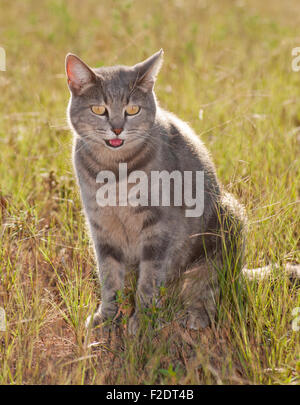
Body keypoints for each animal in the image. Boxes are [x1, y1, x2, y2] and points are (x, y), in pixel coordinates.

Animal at [65, 49, 246, 334]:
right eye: (98, 109)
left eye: (132, 109)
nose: (117, 128)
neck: (115, 170)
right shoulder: (101, 228)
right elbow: (109, 277)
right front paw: (107, 317)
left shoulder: (158, 226)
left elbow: (149, 279)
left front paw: (142, 320)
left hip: (228, 220)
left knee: (206, 287)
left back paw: (195, 316)